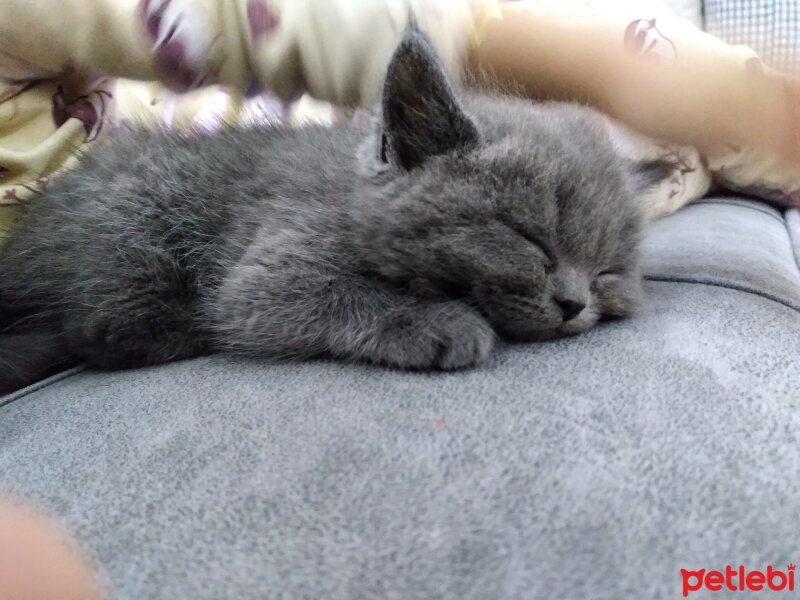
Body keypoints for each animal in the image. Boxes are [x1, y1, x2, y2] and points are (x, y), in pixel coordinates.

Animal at [0, 30, 648, 394]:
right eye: (527, 239)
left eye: (607, 272)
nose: (574, 304)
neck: (350, 198)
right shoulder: (268, 265)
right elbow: (325, 295)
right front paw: (438, 322)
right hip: (135, 225)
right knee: (104, 326)